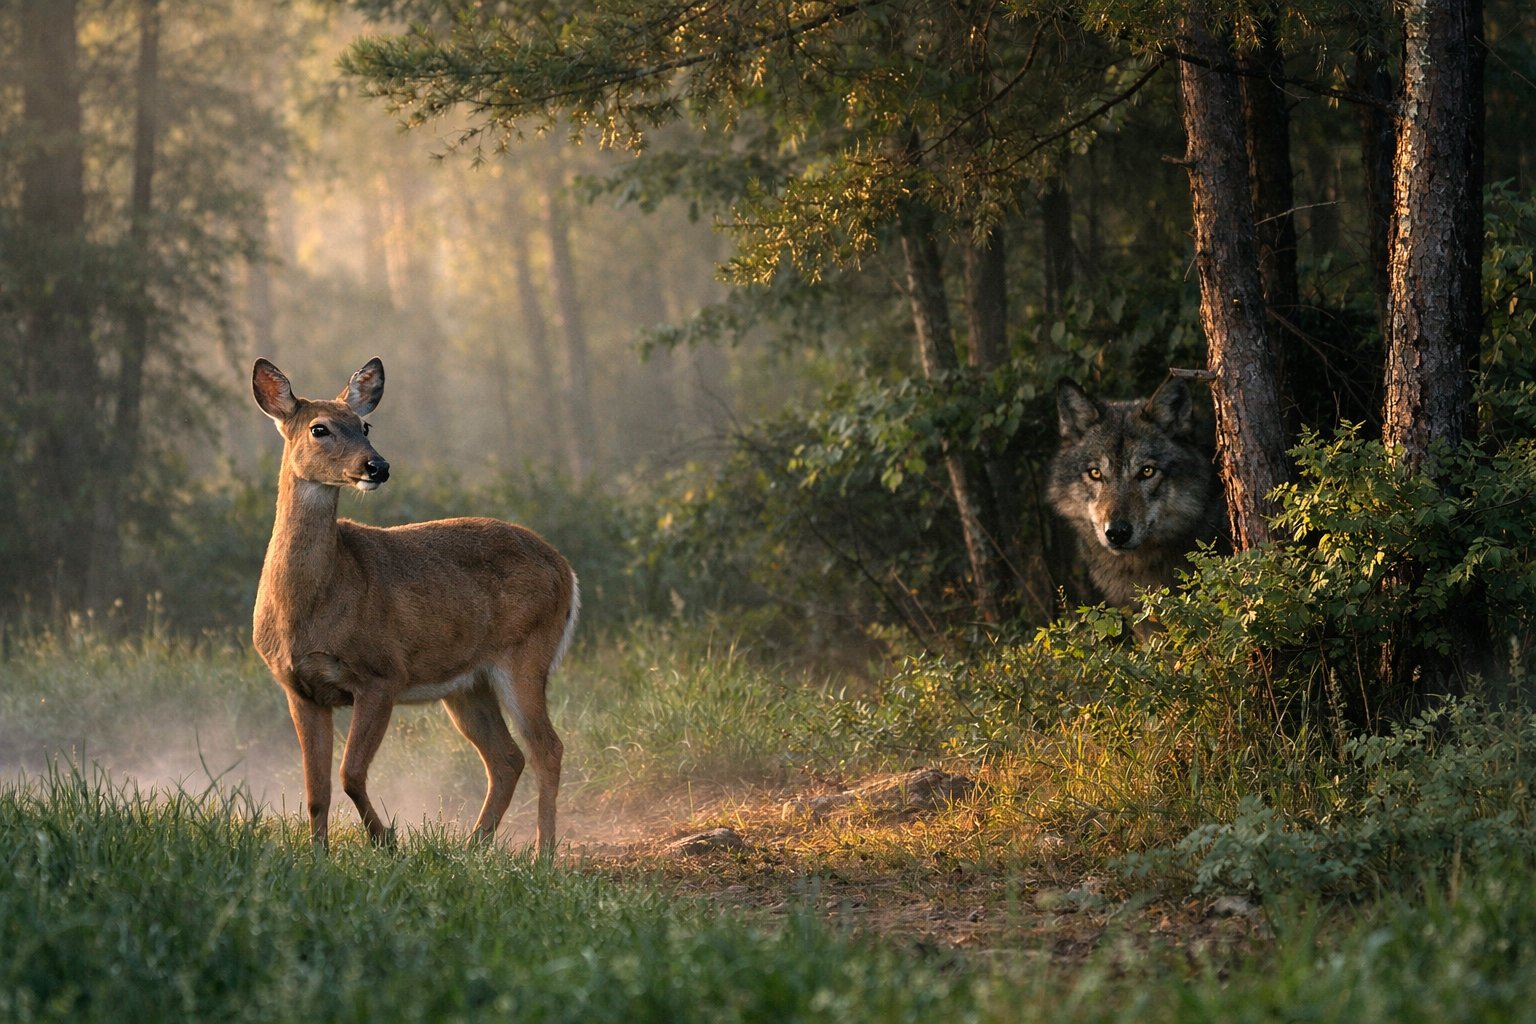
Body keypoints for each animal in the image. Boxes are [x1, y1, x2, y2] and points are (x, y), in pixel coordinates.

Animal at [251, 356, 578, 857]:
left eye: (365, 424)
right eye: (319, 428)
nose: (377, 465)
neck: (311, 608)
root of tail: (566, 569)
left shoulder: (382, 672)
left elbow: (350, 773)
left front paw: (385, 841)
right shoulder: (300, 688)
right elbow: (315, 789)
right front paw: (317, 856)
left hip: (526, 653)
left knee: (547, 748)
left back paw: (543, 855)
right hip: (467, 684)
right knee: (506, 757)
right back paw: (472, 847)